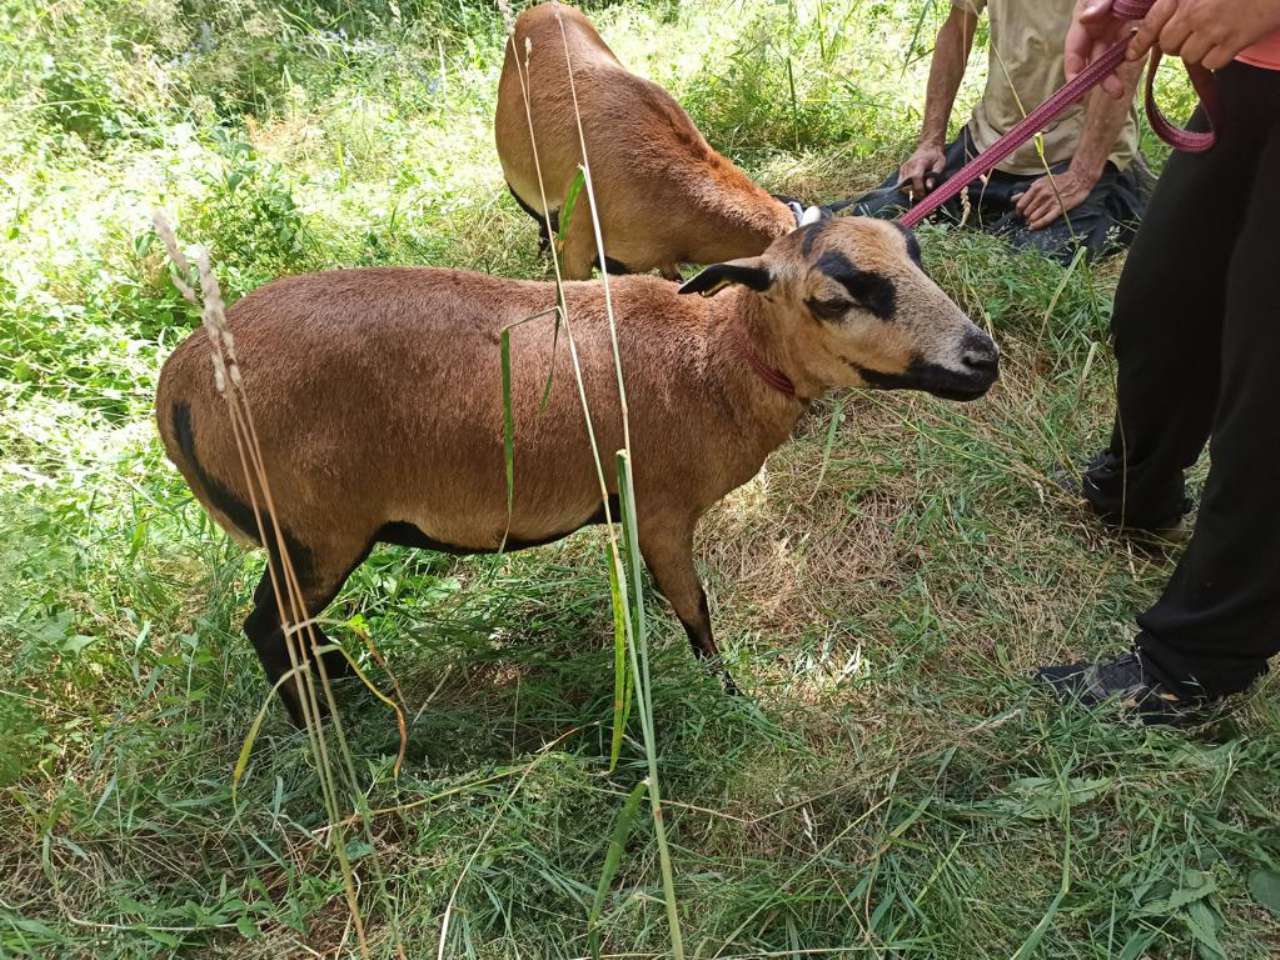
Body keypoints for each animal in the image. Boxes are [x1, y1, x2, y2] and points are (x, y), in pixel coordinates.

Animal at [154, 216, 998, 721]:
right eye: (835, 296)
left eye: (916, 254)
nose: (981, 359)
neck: (714, 361)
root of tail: (180, 381)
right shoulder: (659, 508)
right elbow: (695, 610)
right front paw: (732, 697)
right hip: (313, 529)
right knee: (268, 629)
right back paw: (324, 724)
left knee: (290, 627)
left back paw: (337, 681)